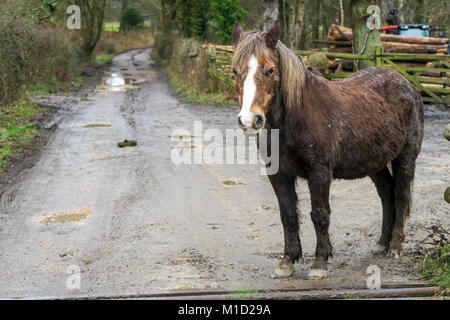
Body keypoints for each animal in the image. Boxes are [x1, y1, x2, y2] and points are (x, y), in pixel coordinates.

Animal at [234, 21, 424, 278]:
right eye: (235, 71)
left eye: (270, 70)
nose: (249, 120)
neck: (295, 117)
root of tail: (406, 83)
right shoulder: (279, 174)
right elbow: (288, 215)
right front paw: (287, 261)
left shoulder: (320, 173)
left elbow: (320, 215)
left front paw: (319, 263)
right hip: (375, 162)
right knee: (387, 194)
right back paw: (382, 243)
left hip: (406, 156)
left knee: (402, 195)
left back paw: (395, 247)